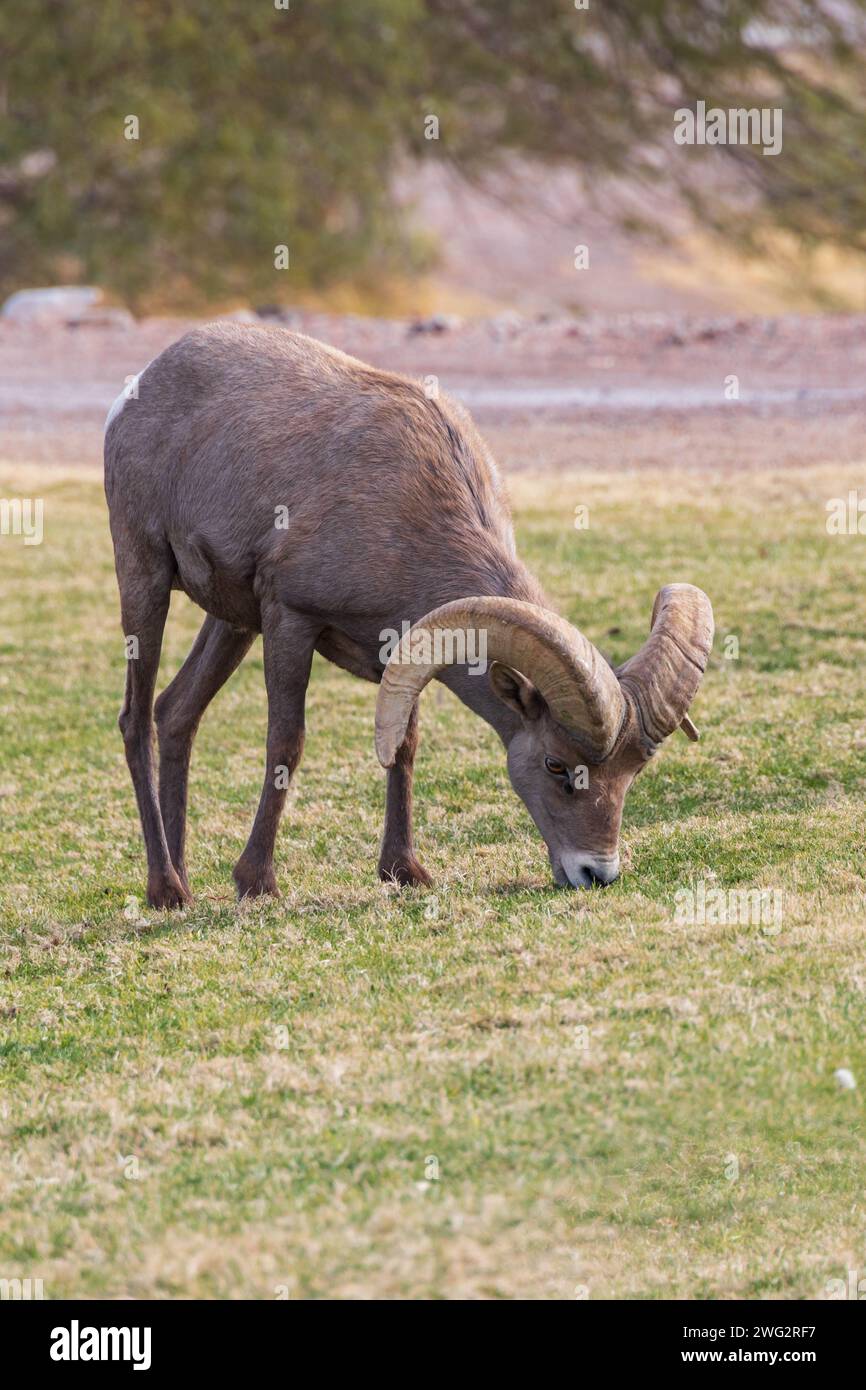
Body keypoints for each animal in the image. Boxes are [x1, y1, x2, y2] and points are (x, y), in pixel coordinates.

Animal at [104, 323, 713, 907]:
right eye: (556, 766)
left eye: (633, 773)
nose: (596, 874)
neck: (409, 516)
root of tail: (136, 392)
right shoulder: (290, 620)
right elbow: (286, 744)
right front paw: (257, 883)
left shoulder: (401, 648)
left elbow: (404, 745)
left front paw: (404, 872)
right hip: (146, 577)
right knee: (136, 719)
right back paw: (165, 890)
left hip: (232, 623)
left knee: (176, 712)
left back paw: (183, 881)